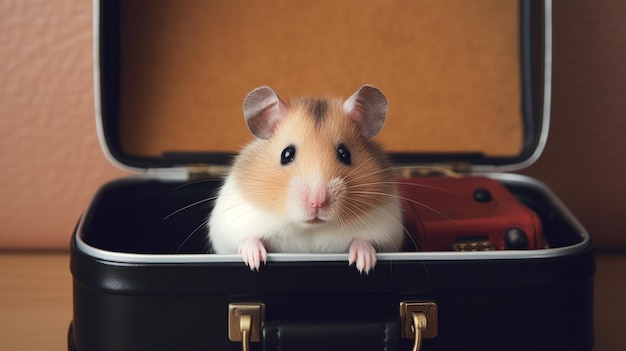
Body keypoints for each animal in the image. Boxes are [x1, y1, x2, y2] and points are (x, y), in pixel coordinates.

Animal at [207, 86, 402, 274]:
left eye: (345, 153)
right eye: (286, 154)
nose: (317, 202)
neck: (311, 228)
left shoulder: (388, 230)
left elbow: (366, 241)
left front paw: (364, 264)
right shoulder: (229, 226)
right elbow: (247, 240)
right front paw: (254, 262)